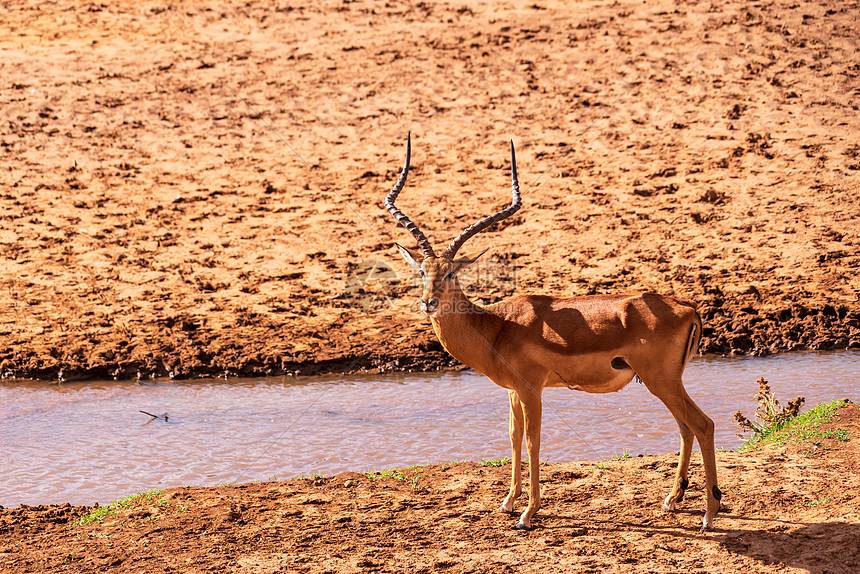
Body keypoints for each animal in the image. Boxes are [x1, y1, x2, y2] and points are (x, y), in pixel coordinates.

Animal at [382, 134, 720, 532]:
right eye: (422, 270)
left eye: (451, 272)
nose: (428, 302)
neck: (496, 327)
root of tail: (687, 307)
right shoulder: (513, 391)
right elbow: (513, 438)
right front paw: (507, 503)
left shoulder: (532, 389)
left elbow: (533, 442)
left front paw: (528, 513)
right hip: (665, 383)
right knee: (686, 427)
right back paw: (672, 500)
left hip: (661, 380)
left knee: (704, 424)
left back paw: (709, 514)